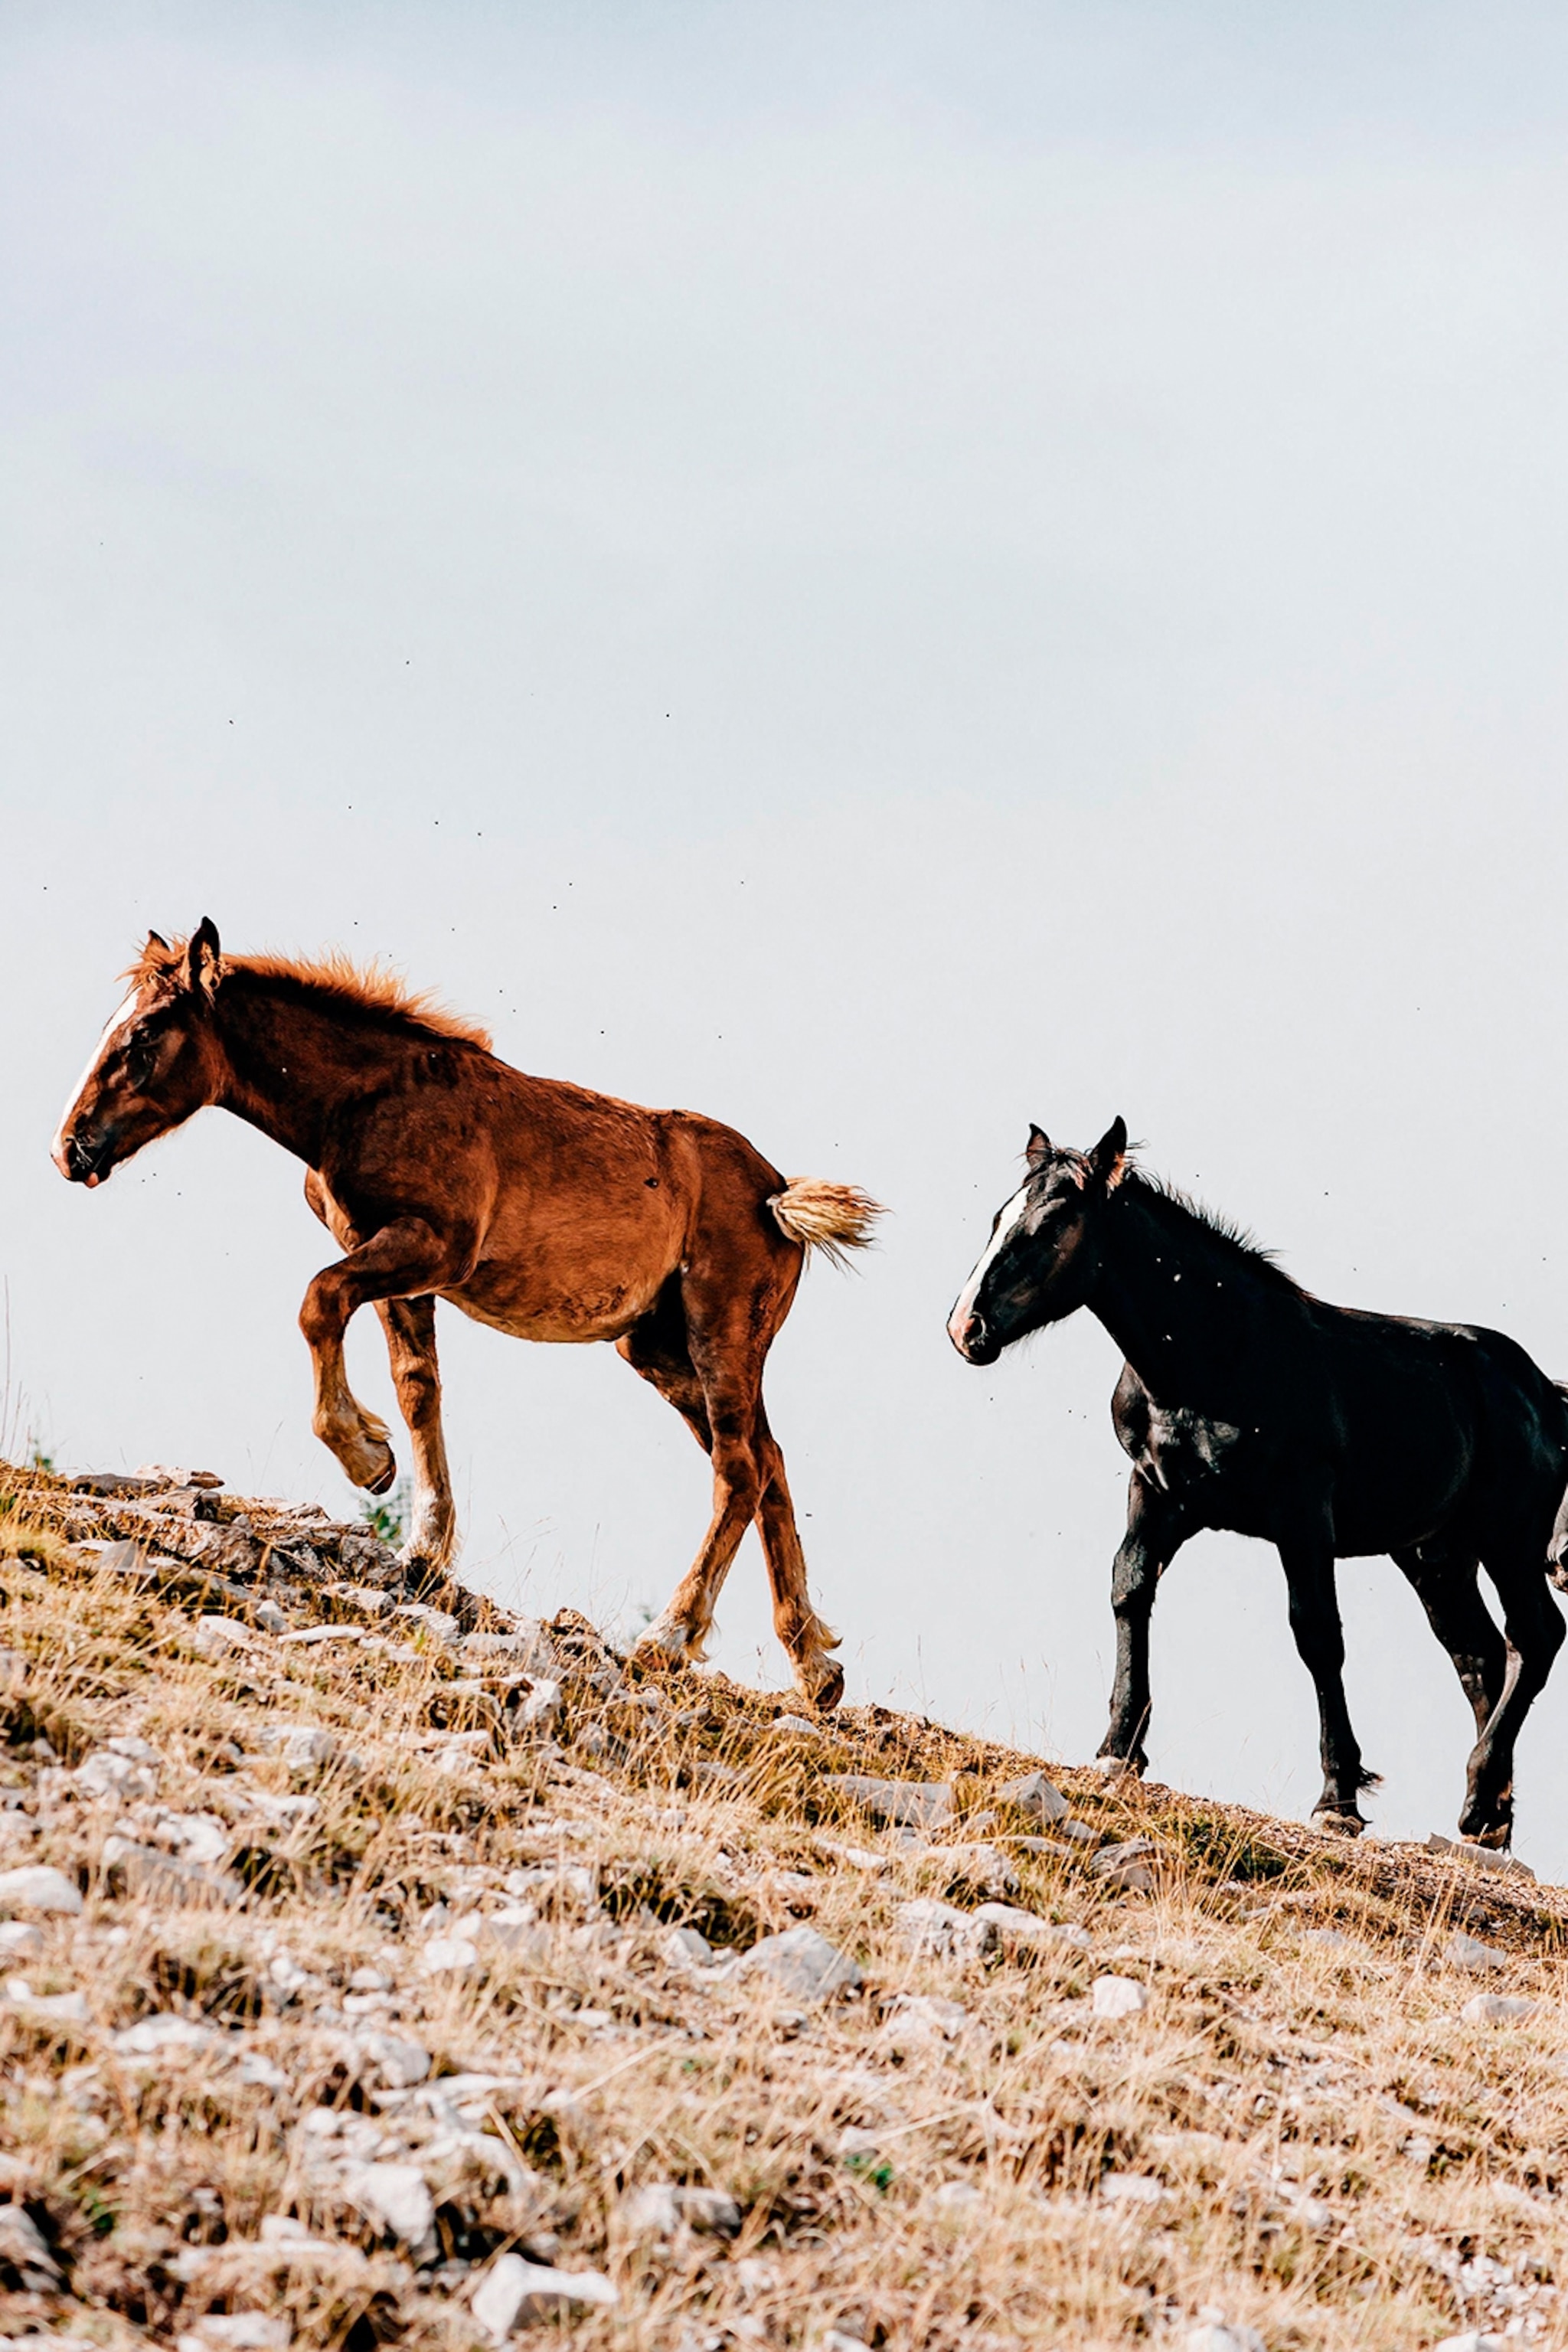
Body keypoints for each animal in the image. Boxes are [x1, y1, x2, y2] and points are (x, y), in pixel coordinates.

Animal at [52, 921, 881, 1705]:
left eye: (144, 1033)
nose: (71, 1149)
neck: (365, 1101)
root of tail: (778, 1196)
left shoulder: (427, 1249)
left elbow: (319, 1302)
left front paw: (367, 1460)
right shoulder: (395, 1267)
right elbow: (417, 1389)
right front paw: (421, 1546)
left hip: (720, 1330)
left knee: (739, 1469)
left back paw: (669, 1639)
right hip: (656, 1348)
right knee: (765, 1461)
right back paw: (814, 1667)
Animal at [947, 1118, 1568, 1847]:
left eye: (1049, 1226)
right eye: (998, 1218)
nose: (965, 1326)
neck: (1216, 1355)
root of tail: (1544, 1393)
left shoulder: (1302, 1514)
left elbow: (1317, 1634)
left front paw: (1337, 1801)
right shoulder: (1158, 1493)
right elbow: (1130, 1587)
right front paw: (1118, 1751)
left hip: (1508, 1540)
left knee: (1534, 1637)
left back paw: (1480, 1802)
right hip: (1434, 1553)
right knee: (1479, 1658)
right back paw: (1488, 1819)